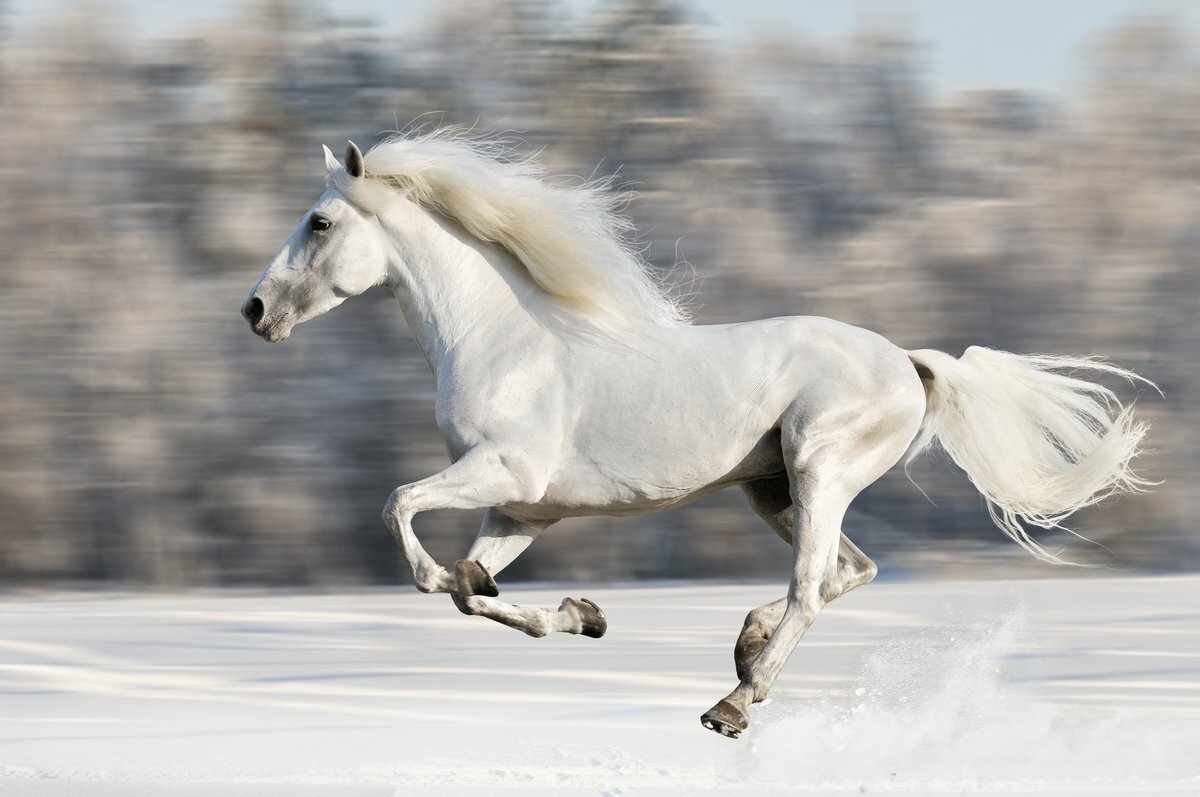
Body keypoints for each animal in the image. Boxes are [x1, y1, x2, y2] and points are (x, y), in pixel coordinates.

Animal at [238, 132, 1147, 739]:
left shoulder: (503, 473)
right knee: (848, 571)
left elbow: (403, 512)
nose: (253, 310)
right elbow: (471, 590)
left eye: (319, 223)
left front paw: (468, 581)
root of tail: (909, 363)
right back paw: (744, 649)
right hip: (771, 488)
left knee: (815, 583)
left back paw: (733, 702)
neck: (503, 339)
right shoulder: (524, 510)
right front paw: (582, 615)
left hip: (818, 471)